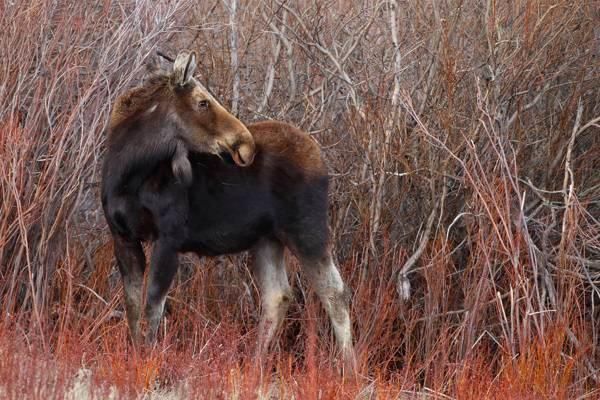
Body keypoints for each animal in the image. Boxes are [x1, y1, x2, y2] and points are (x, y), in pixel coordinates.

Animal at [101, 50, 354, 368]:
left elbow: (152, 307)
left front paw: (148, 360)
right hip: (267, 239)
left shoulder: (169, 239)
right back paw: (255, 366)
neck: (127, 174)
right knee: (278, 295)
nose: (245, 144)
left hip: (307, 230)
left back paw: (351, 369)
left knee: (335, 292)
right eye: (203, 102)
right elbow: (133, 308)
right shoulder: (122, 237)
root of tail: (321, 160)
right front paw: (135, 357)